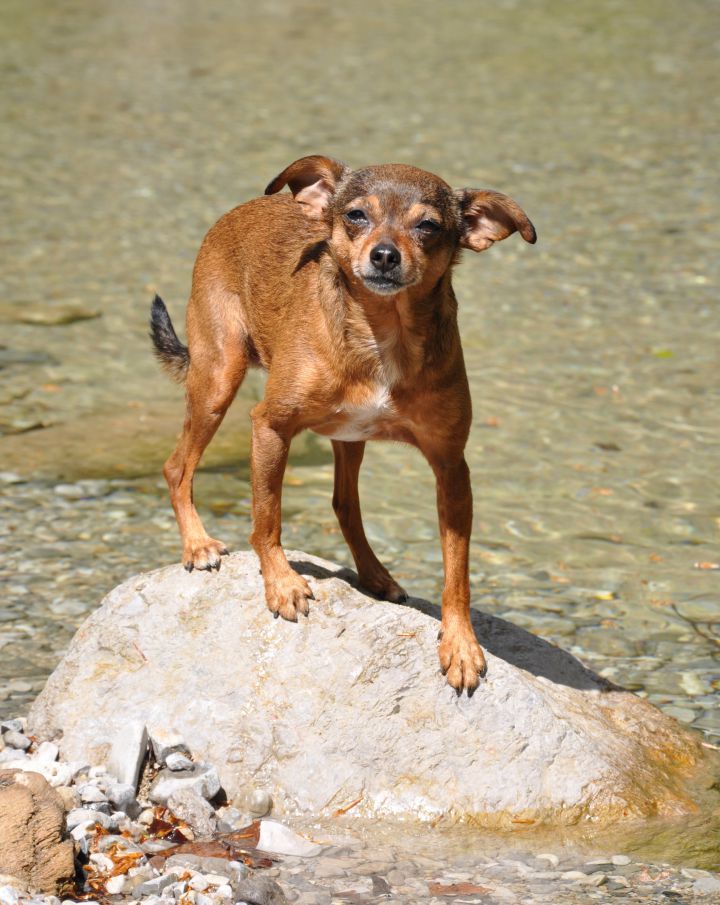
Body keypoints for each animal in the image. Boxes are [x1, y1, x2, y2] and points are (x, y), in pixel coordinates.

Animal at [150, 157, 536, 692]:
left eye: (428, 226)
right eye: (356, 215)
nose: (385, 255)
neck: (382, 333)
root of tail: (245, 208)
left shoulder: (450, 465)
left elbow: (456, 572)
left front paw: (460, 644)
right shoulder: (270, 427)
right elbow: (266, 518)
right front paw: (281, 584)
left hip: (347, 439)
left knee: (344, 505)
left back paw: (375, 575)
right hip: (217, 381)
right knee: (177, 467)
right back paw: (198, 543)